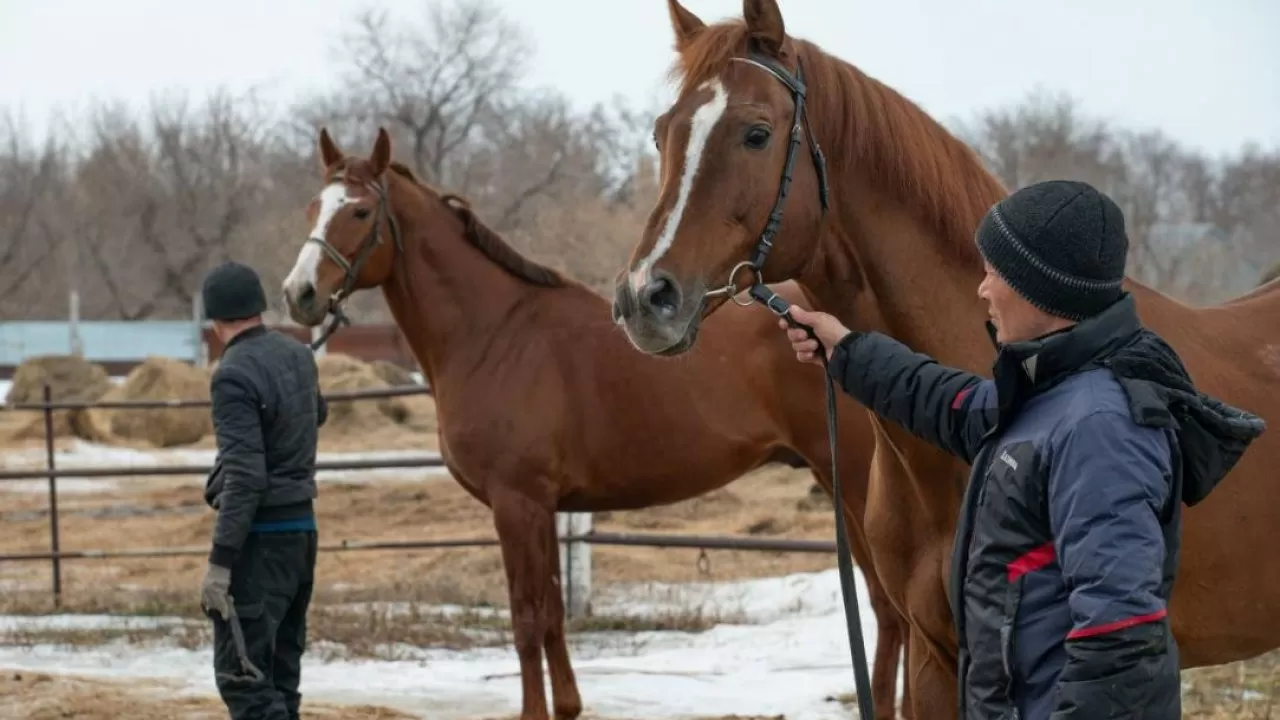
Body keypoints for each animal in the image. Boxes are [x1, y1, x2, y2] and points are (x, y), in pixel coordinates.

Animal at [285, 126, 916, 712]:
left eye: (360, 211)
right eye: (313, 208)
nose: (300, 294)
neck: (495, 334)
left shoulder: (517, 504)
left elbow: (526, 619)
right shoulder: (543, 508)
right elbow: (552, 615)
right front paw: (566, 706)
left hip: (853, 482)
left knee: (893, 608)